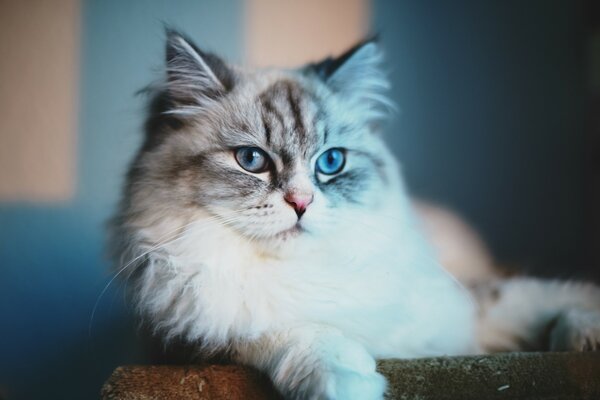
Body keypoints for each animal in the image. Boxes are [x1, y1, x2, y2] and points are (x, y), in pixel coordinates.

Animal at [111, 31, 600, 400]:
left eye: (331, 162)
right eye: (251, 160)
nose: (300, 203)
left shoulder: (462, 314)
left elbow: (547, 297)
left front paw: (582, 337)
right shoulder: (195, 339)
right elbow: (300, 334)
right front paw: (348, 383)